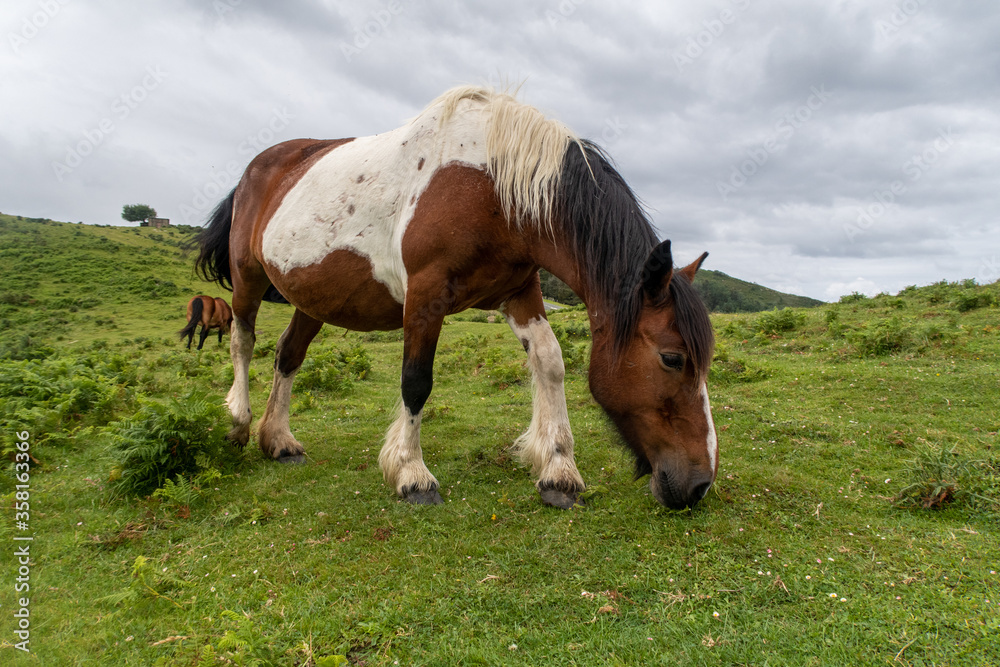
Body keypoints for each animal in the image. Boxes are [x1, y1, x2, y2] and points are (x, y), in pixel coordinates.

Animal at [195, 86, 717, 510]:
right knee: (243, 341)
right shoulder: (426, 293)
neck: (492, 187)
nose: (700, 485)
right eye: (672, 358)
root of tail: (256, 170)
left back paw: (279, 441)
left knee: (287, 355)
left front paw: (559, 471)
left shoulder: (519, 291)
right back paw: (239, 422)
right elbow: (416, 381)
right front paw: (411, 474)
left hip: (314, 299)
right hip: (247, 278)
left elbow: (550, 362)